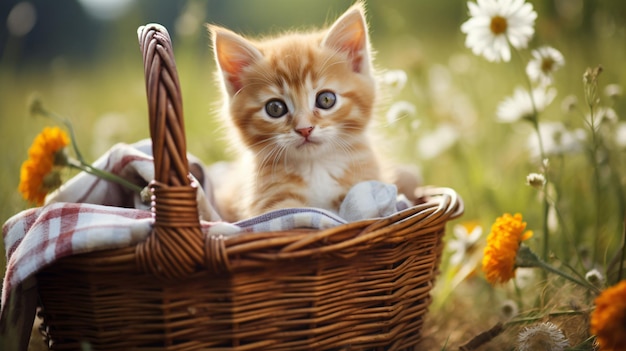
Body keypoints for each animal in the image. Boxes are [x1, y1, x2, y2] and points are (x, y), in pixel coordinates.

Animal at [210, 3, 382, 223]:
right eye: (275, 108)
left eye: (326, 99)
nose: (305, 129)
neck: (316, 166)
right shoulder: (271, 204)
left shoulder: (365, 182)